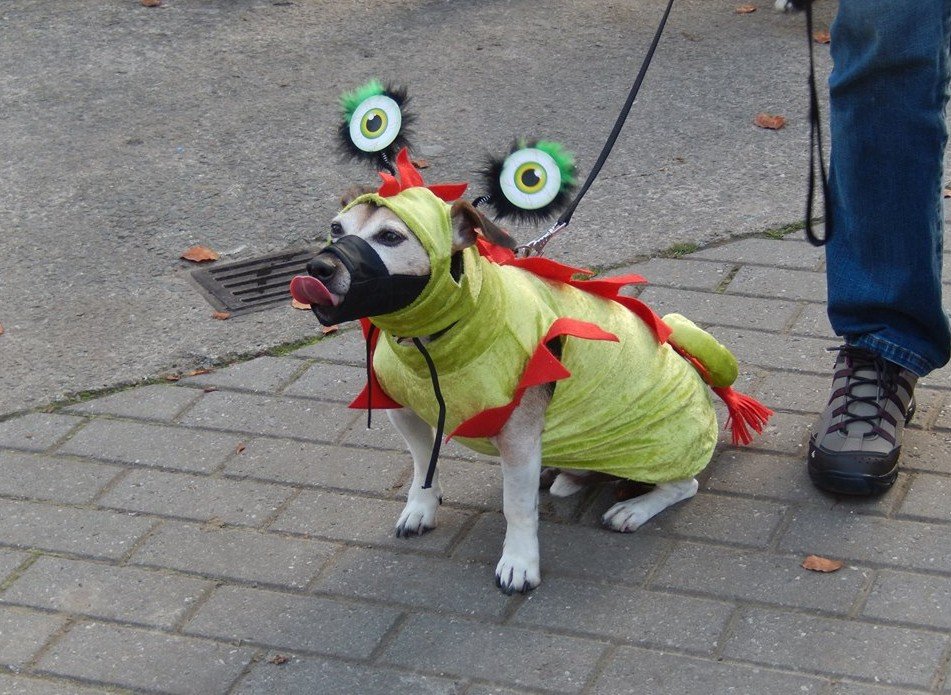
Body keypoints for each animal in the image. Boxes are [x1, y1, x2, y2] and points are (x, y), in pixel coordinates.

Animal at [290, 160, 768, 596]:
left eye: (390, 237)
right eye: (335, 228)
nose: (318, 268)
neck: (433, 341)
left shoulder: (517, 436)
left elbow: (516, 509)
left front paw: (519, 562)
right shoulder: (403, 411)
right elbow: (422, 464)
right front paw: (422, 506)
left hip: (657, 449)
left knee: (684, 484)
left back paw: (634, 508)